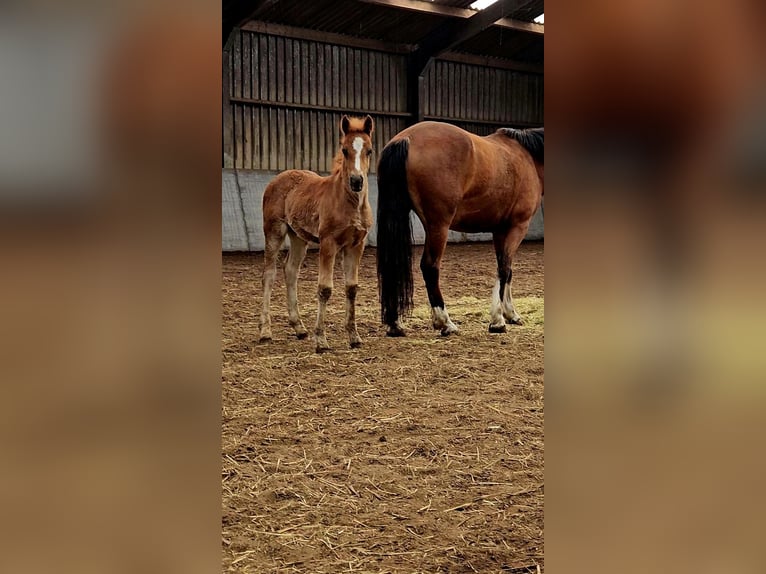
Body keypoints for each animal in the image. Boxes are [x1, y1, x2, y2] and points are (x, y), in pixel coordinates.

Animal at [260, 115, 376, 354]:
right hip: (274, 231)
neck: (349, 203)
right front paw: (321, 340)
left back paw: (299, 328)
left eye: (369, 150)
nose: (356, 181)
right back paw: (265, 331)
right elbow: (324, 289)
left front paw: (354, 337)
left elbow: (351, 288)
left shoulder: (356, 245)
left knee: (290, 270)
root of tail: (277, 178)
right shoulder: (328, 243)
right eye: (344, 150)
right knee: (269, 273)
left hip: (298, 237)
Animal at [376, 121, 544, 338]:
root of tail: (405, 138)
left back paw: (395, 324)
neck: (528, 157)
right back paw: (445, 323)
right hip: (438, 226)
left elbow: (506, 269)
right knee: (430, 267)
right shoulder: (517, 226)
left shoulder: (500, 230)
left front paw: (510, 314)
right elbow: (505, 269)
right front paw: (498, 321)